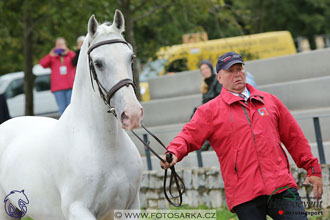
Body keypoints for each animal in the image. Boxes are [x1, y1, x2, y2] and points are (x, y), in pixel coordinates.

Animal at [0, 10, 144, 220]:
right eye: (98, 63)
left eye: (130, 58)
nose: (132, 113)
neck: (105, 145)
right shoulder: (78, 209)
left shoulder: (130, 207)